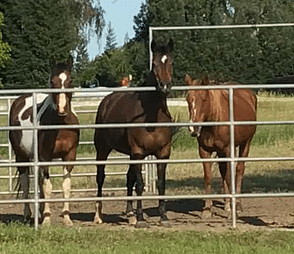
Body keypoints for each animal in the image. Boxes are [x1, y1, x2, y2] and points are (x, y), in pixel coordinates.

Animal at [9, 56, 79, 225]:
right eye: (52, 81)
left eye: (70, 80)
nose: (62, 109)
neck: (61, 126)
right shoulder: (45, 157)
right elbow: (47, 186)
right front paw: (47, 220)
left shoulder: (69, 156)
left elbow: (66, 186)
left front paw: (67, 218)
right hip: (21, 156)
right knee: (26, 183)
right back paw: (28, 215)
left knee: (38, 183)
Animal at [93, 38, 173, 228]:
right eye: (154, 63)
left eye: (171, 62)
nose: (165, 86)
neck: (152, 117)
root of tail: (107, 101)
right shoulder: (138, 153)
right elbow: (140, 185)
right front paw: (141, 219)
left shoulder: (163, 153)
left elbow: (160, 183)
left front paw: (163, 217)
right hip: (102, 149)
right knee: (100, 177)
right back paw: (98, 215)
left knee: (128, 177)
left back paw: (130, 214)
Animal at [186, 74, 258, 217]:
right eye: (187, 99)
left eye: (204, 98)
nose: (193, 128)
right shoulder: (204, 151)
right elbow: (209, 177)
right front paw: (207, 210)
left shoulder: (228, 149)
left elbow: (230, 176)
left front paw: (233, 209)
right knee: (223, 171)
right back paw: (227, 203)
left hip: (246, 143)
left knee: (239, 170)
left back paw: (237, 204)